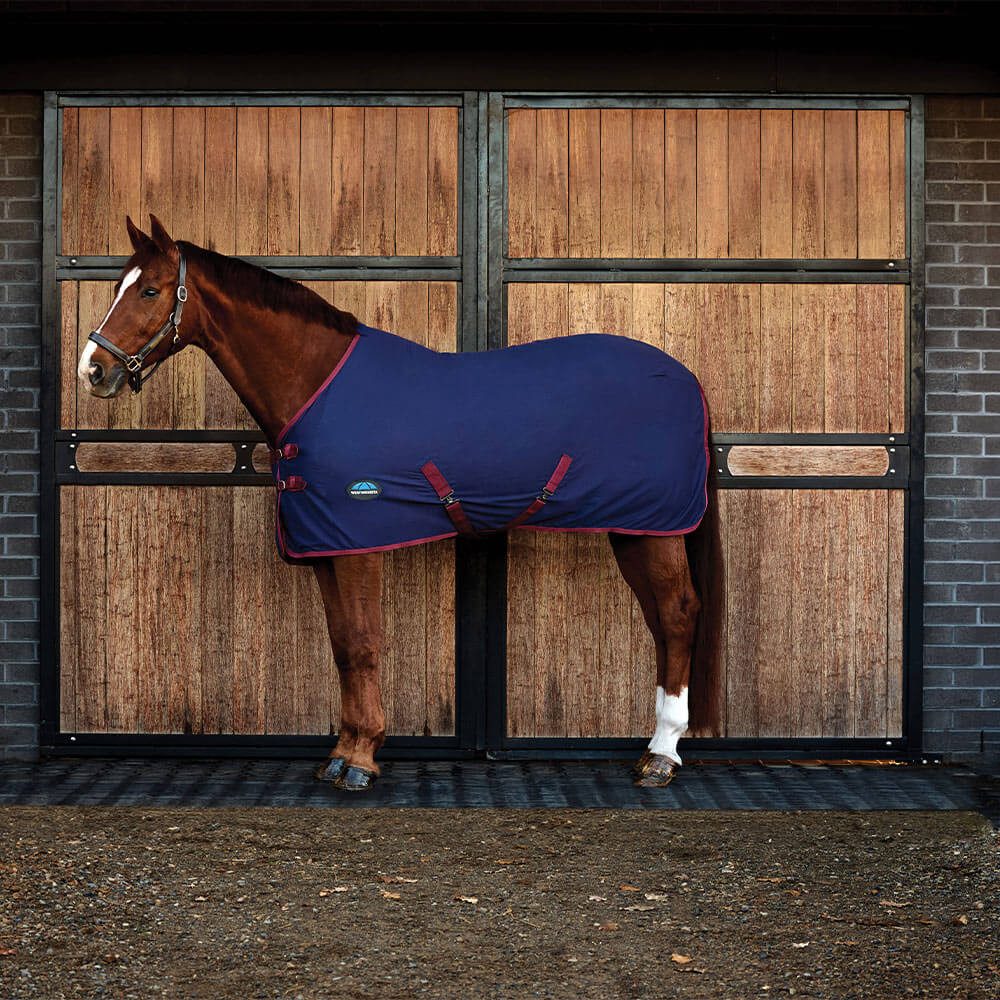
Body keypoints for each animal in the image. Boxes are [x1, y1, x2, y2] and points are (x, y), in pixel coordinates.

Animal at [78, 214, 722, 791]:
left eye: (151, 289)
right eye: (116, 286)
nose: (93, 369)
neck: (317, 384)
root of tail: (687, 378)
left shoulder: (357, 540)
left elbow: (363, 644)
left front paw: (361, 760)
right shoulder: (327, 545)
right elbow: (343, 646)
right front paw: (343, 753)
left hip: (656, 527)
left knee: (678, 614)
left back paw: (663, 754)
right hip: (634, 530)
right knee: (661, 620)